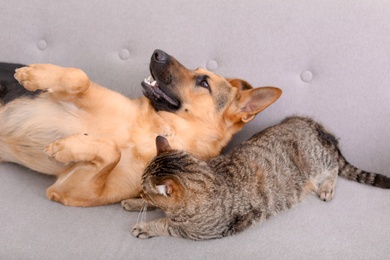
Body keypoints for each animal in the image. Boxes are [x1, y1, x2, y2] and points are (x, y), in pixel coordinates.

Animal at [0, 49, 282, 206]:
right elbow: (80, 78)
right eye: (197, 70)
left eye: (204, 83)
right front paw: (36, 74)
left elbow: (111, 151)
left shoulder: (72, 189)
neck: (154, 131)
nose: (157, 52)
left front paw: (70, 145)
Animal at [122, 116, 390, 240]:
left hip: (317, 161)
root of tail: (306, 121)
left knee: (333, 166)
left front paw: (145, 226)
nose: (140, 190)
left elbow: (165, 225)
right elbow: (152, 207)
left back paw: (327, 188)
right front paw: (134, 201)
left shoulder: (197, 232)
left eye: (144, 187)